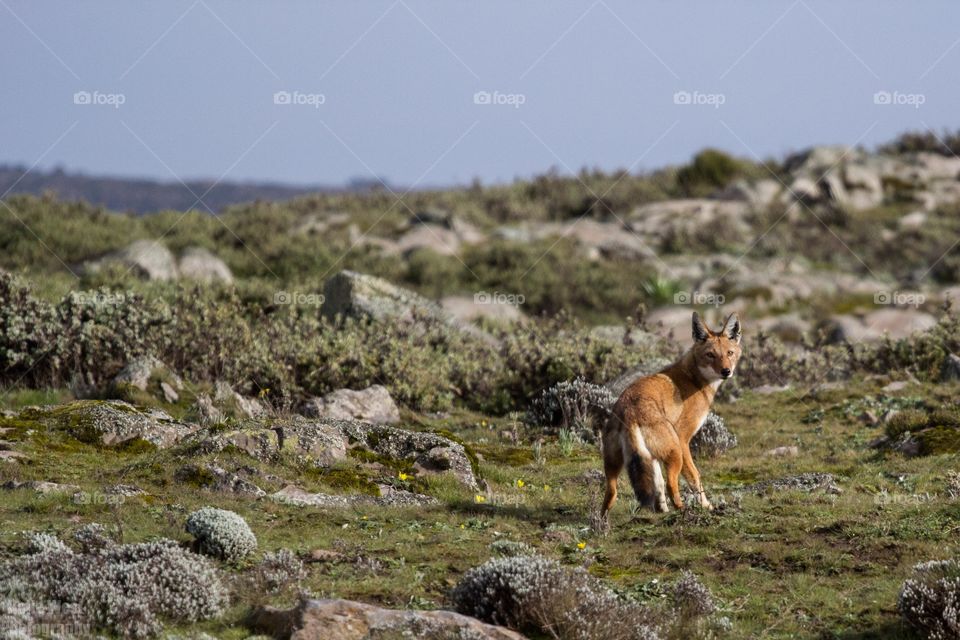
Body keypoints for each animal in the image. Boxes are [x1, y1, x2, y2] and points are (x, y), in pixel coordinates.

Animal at [600, 312, 744, 516]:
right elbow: (695, 478)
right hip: (675, 453)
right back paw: (684, 511)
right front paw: (707, 507)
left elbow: (658, 485)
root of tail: (629, 411)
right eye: (710, 355)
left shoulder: (652, 457)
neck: (694, 379)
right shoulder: (684, 439)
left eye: (729, 353)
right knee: (670, 485)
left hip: (615, 465)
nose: (726, 371)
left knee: (612, 494)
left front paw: (662, 509)